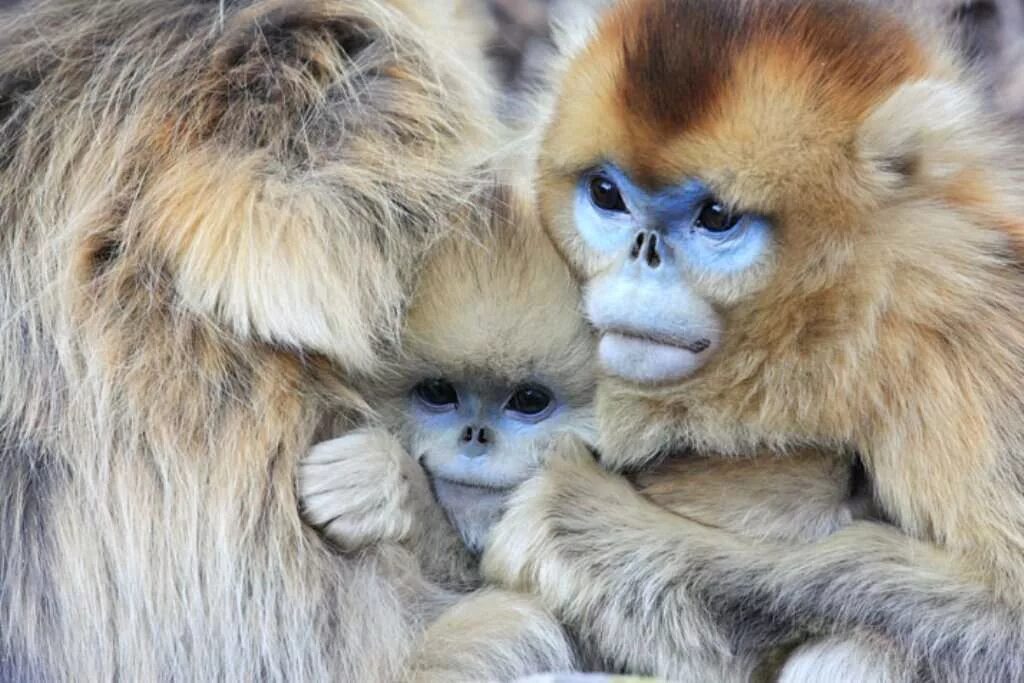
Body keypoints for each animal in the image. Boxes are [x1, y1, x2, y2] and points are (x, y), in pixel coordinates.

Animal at [481, 0, 1024, 679]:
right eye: (607, 194)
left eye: (716, 216)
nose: (641, 259)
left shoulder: (961, 341)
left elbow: (1002, 620)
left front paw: (576, 521)